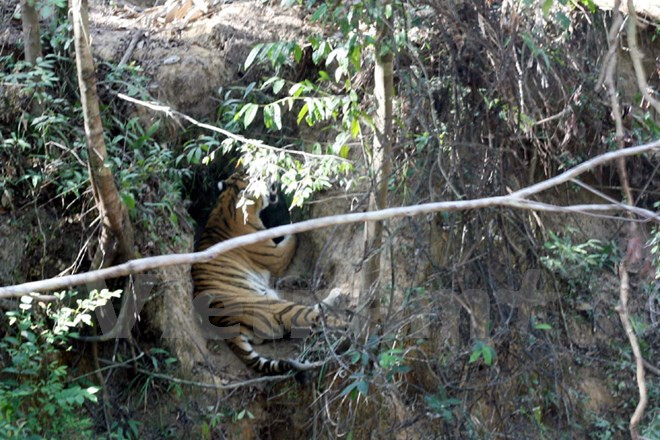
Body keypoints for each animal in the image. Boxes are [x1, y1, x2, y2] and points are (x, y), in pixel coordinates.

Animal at [191, 172, 344, 375]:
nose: (274, 176)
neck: (228, 202)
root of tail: (226, 326)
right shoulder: (276, 255)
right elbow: (291, 238)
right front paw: (297, 223)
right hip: (279, 307)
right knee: (315, 315)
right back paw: (341, 301)